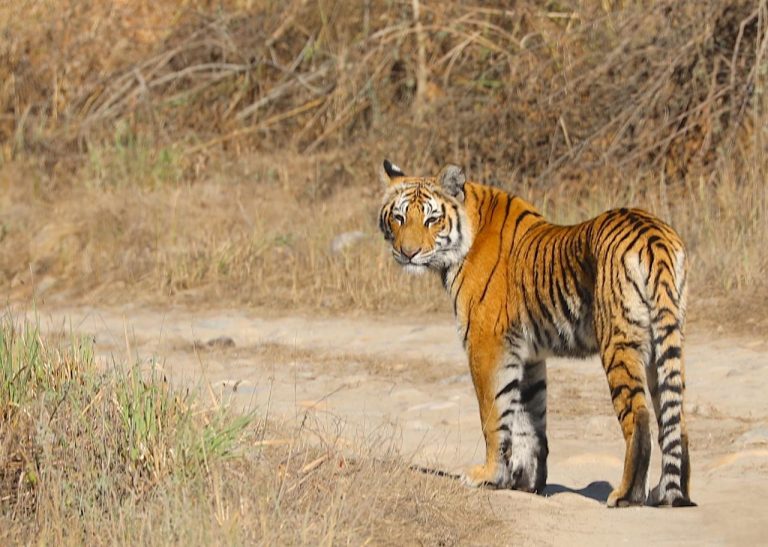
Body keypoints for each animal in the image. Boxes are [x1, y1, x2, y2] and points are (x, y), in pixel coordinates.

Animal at [377, 159, 694, 507]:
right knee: (675, 418)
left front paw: (487, 476)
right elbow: (530, 422)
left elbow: (493, 415)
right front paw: (524, 483)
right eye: (399, 217)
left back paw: (626, 495)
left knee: (639, 416)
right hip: (666, 343)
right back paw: (669, 494)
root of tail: (654, 235)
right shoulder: (527, 355)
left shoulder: (486, 345)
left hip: (619, 342)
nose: (408, 253)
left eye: (432, 219)